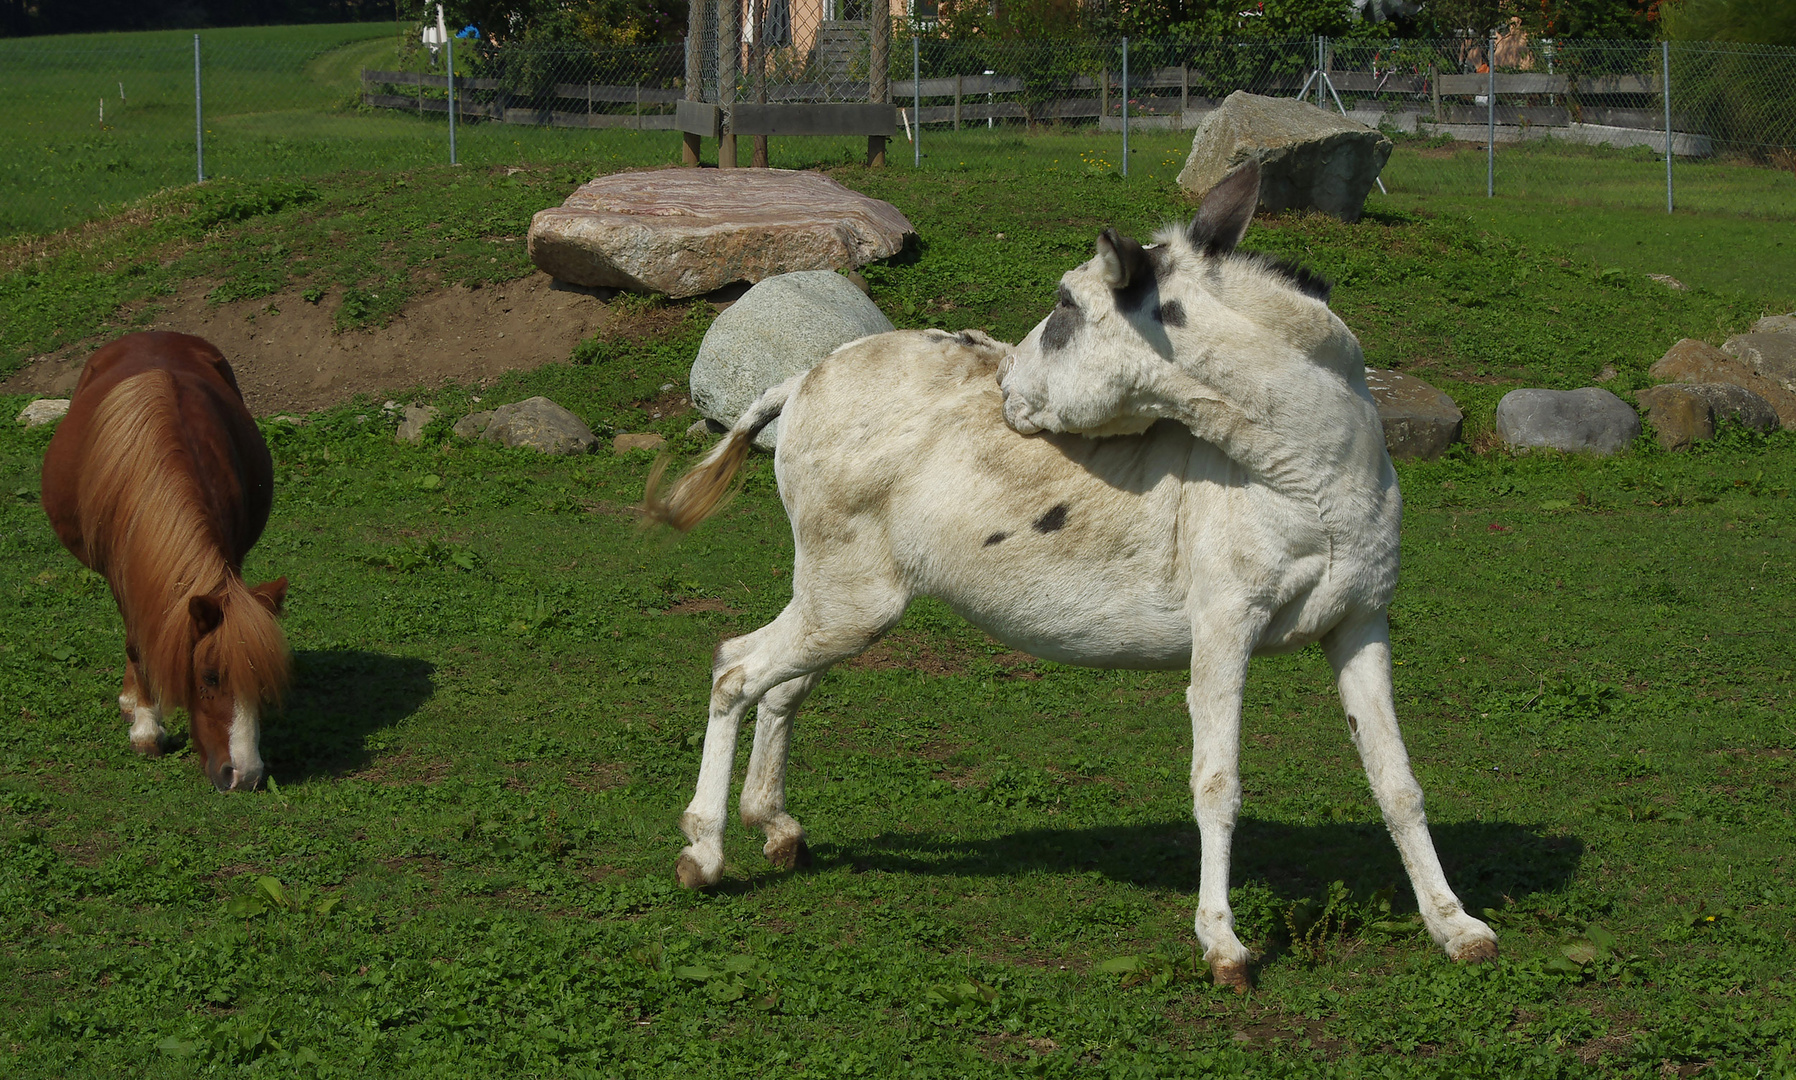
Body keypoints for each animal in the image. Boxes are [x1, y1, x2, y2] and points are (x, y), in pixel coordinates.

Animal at [42, 330, 290, 790]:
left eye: (262, 682)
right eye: (210, 677)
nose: (244, 775)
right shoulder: (123, 573)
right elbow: (138, 643)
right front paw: (145, 727)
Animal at [642, 161, 1487, 984]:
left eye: (1062, 304)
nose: (1005, 387)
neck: (1316, 478)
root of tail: (803, 379)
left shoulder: (1360, 624)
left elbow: (1397, 782)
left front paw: (1456, 927)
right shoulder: (1224, 629)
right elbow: (1218, 786)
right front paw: (1222, 945)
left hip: (840, 601)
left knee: (775, 683)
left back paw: (775, 828)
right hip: (848, 602)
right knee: (735, 670)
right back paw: (704, 853)